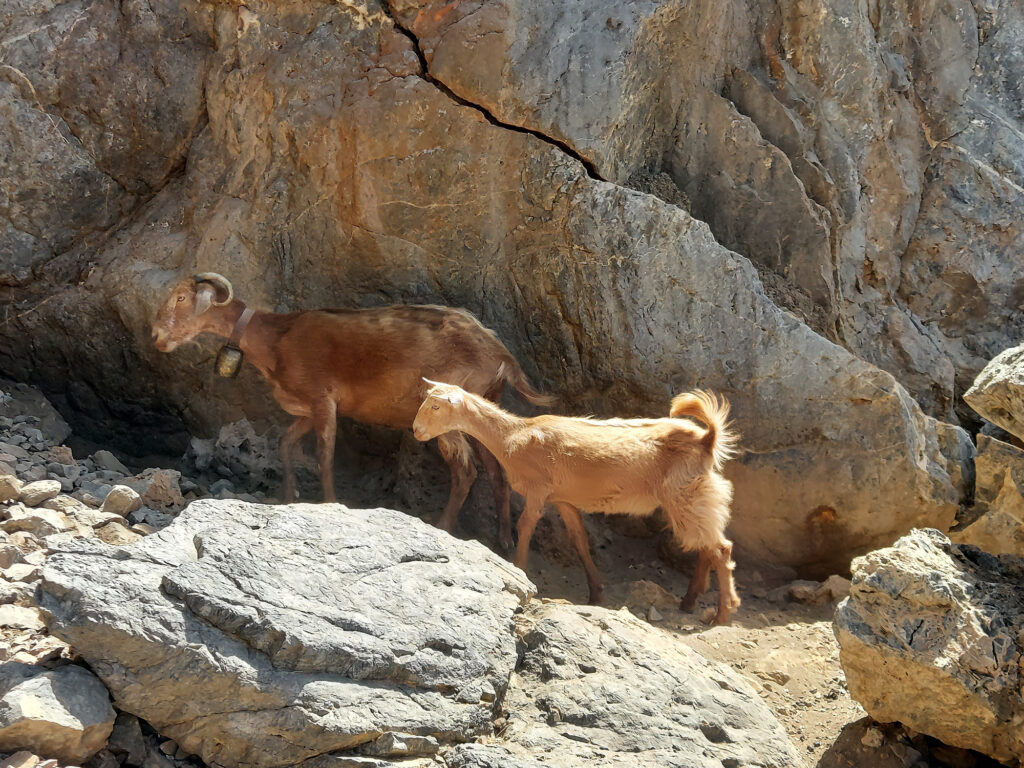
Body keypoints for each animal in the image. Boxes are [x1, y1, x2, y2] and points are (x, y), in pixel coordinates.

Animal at [151, 273, 551, 551]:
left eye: (182, 297)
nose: (156, 336)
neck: (277, 338)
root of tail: (500, 354)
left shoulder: (323, 400)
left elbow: (324, 455)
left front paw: (329, 503)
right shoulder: (306, 409)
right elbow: (286, 444)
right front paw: (290, 494)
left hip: (448, 408)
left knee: (466, 470)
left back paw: (443, 526)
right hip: (482, 405)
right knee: (496, 472)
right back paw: (504, 538)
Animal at [413, 381, 741, 625]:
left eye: (436, 405)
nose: (416, 430)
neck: (513, 436)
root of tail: (707, 440)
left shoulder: (538, 490)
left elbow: (525, 527)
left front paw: (519, 570)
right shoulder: (563, 500)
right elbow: (579, 540)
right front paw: (596, 593)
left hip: (685, 496)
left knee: (721, 549)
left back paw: (723, 613)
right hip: (691, 499)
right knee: (706, 547)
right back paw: (690, 601)